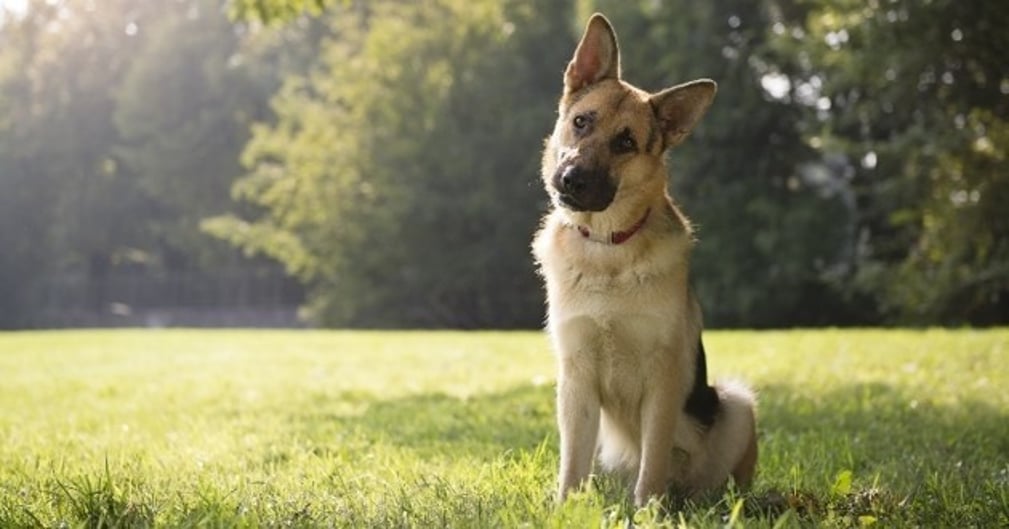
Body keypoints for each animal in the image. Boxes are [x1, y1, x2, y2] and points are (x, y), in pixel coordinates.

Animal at [536, 14, 758, 506]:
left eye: (625, 142)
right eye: (581, 122)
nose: (572, 179)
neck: (608, 248)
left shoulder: (663, 380)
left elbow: (653, 459)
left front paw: (648, 510)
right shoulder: (576, 380)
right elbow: (571, 464)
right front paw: (564, 508)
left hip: (736, 403)